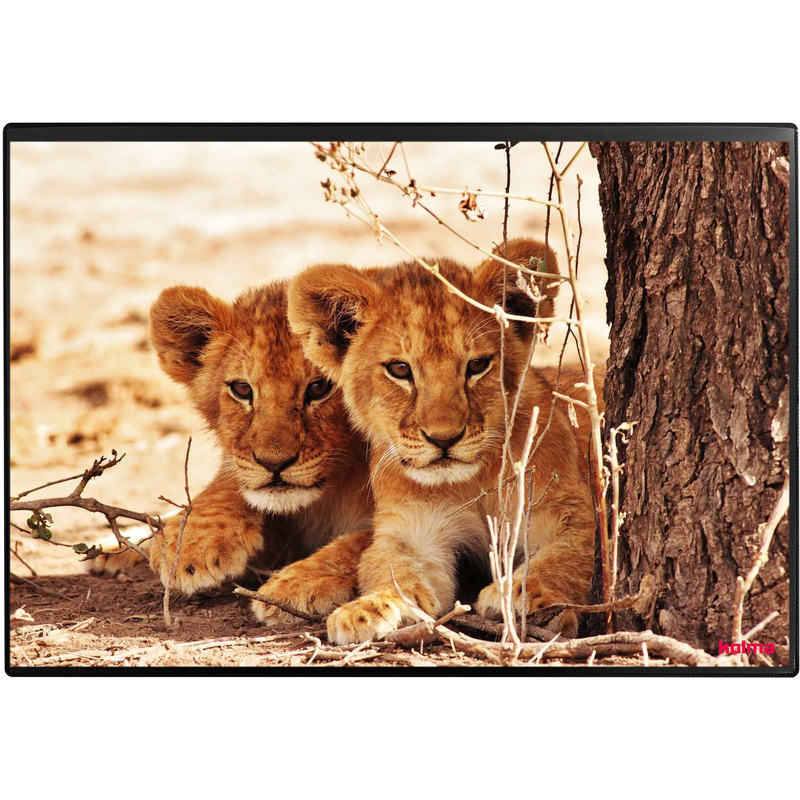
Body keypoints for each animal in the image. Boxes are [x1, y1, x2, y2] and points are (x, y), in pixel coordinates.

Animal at [89, 281, 374, 623]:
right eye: (242, 389)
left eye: (320, 388)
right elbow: (227, 484)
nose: (274, 464)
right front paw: (191, 541)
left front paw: (298, 584)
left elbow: (371, 538)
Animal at [287, 238, 603, 645]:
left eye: (477, 365)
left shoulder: (572, 512)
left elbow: (564, 558)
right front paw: (369, 608)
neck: (470, 482)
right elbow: (393, 570)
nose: (444, 438)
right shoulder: (412, 532)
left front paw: (521, 595)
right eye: (400, 369)